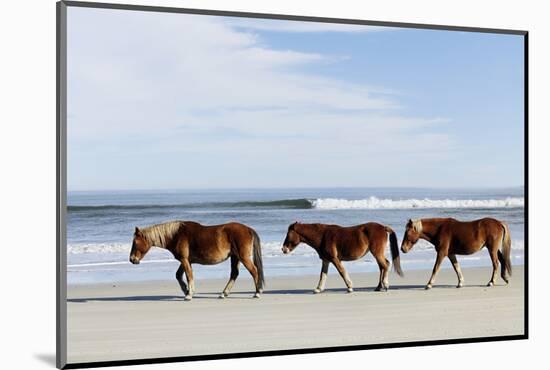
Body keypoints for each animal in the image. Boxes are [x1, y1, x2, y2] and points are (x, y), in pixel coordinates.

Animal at [130, 221, 266, 300]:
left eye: (135, 242)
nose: (132, 259)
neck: (176, 235)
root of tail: (248, 229)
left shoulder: (184, 260)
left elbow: (189, 276)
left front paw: (189, 294)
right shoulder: (186, 261)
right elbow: (179, 275)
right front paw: (186, 290)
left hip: (243, 257)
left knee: (254, 271)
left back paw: (257, 292)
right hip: (235, 257)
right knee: (234, 274)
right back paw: (224, 293)